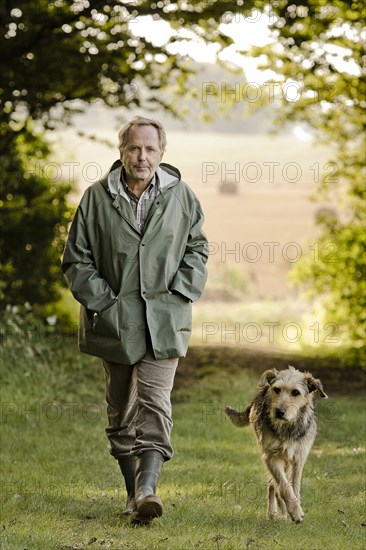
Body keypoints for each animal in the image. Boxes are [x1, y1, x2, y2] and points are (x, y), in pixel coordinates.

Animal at [224, 368, 328, 524]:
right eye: (277, 389)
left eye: (295, 392)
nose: (279, 412)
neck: (288, 429)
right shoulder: (271, 457)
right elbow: (284, 486)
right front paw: (295, 511)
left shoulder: (298, 458)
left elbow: (294, 485)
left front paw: (295, 508)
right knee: (273, 485)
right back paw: (273, 511)